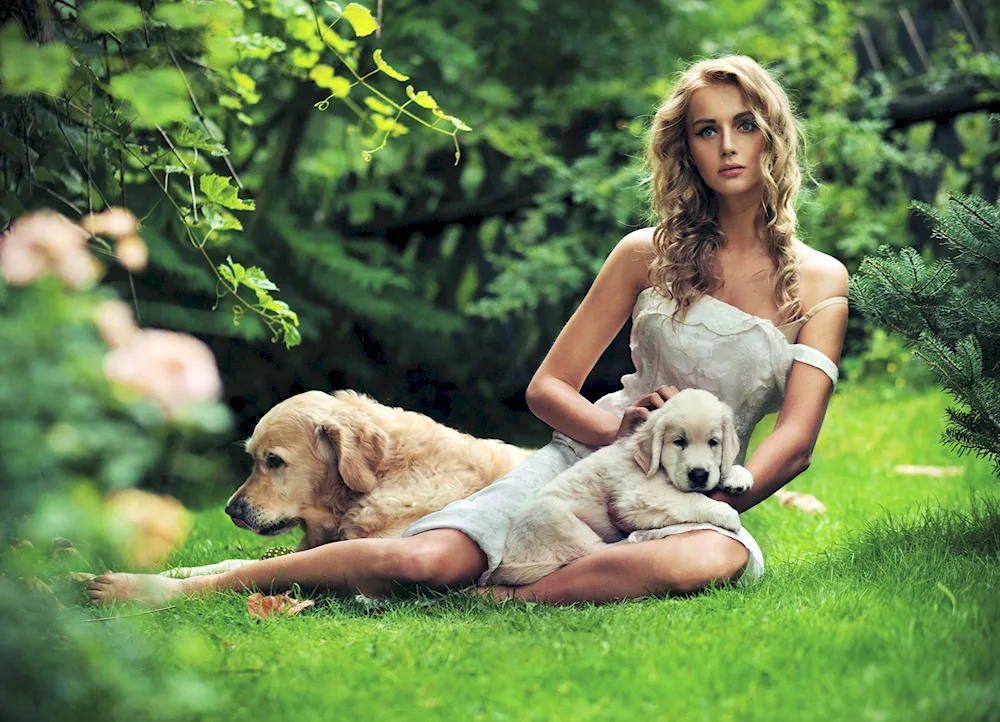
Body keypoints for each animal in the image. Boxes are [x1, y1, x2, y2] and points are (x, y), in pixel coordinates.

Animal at [492, 388, 752, 584]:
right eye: (679, 442)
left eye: (714, 442)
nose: (699, 475)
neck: (655, 467)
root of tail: (505, 563)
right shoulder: (637, 496)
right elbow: (688, 498)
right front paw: (725, 512)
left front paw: (737, 475)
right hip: (549, 514)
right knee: (592, 553)